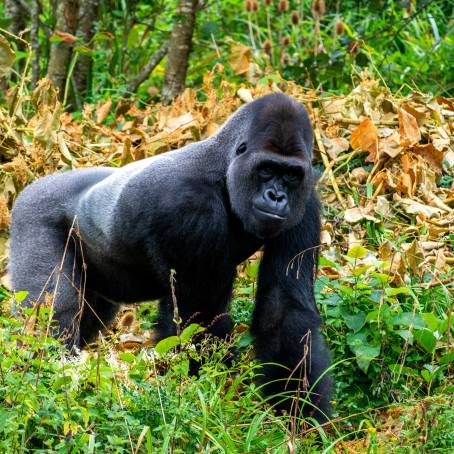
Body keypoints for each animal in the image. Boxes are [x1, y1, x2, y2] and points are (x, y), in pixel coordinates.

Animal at [8, 92, 332, 422]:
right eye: (266, 169)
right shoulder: (188, 207)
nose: (277, 197)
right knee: (54, 318)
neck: (223, 168)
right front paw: (220, 405)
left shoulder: (306, 204)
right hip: (33, 214)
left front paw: (298, 412)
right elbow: (196, 321)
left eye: (291, 175)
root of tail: (34, 185)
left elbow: (283, 309)